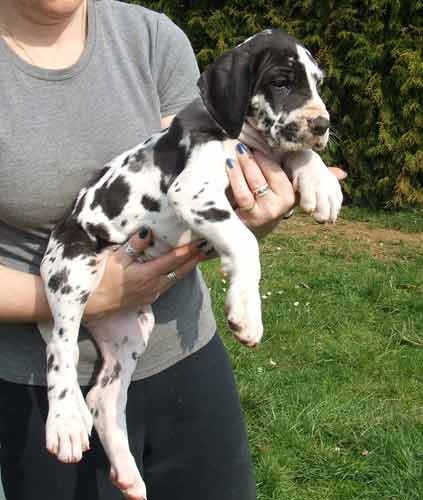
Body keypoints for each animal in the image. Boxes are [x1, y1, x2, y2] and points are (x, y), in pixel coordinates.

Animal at [37, 29, 342, 500]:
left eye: (318, 82)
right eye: (281, 81)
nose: (322, 124)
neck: (236, 135)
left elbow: (294, 157)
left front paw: (321, 182)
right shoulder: (195, 191)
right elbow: (245, 243)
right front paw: (246, 311)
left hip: (132, 333)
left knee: (105, 399)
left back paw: (128, 473)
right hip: (73, 271)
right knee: (61, 349)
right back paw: (66, 422)